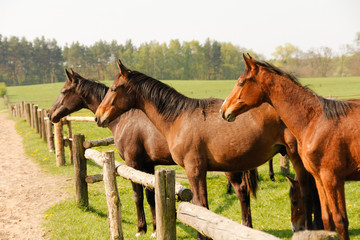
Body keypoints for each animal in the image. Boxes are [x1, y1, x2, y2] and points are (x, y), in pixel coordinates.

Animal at [47, 69, 260, 236]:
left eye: (64, 91)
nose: (50, 114)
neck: (125, 117)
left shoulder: (134, 164)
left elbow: (138, 196)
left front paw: (142, 229)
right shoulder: (148, 165)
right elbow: (151, 196)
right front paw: (156, 228)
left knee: (241, 191)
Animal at [95, 60, 320, 240]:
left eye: (114, 89)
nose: (98, 116)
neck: (178, 118)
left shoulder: (193, 170)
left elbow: (200, 205)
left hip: (298, 160)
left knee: (309, 192)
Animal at [221, 54, 358, 240]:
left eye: (241, 83)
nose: (223, 110)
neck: (315, 121)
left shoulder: (333, 179)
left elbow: (340, 220)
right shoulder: (319, 178)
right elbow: (326, 218)